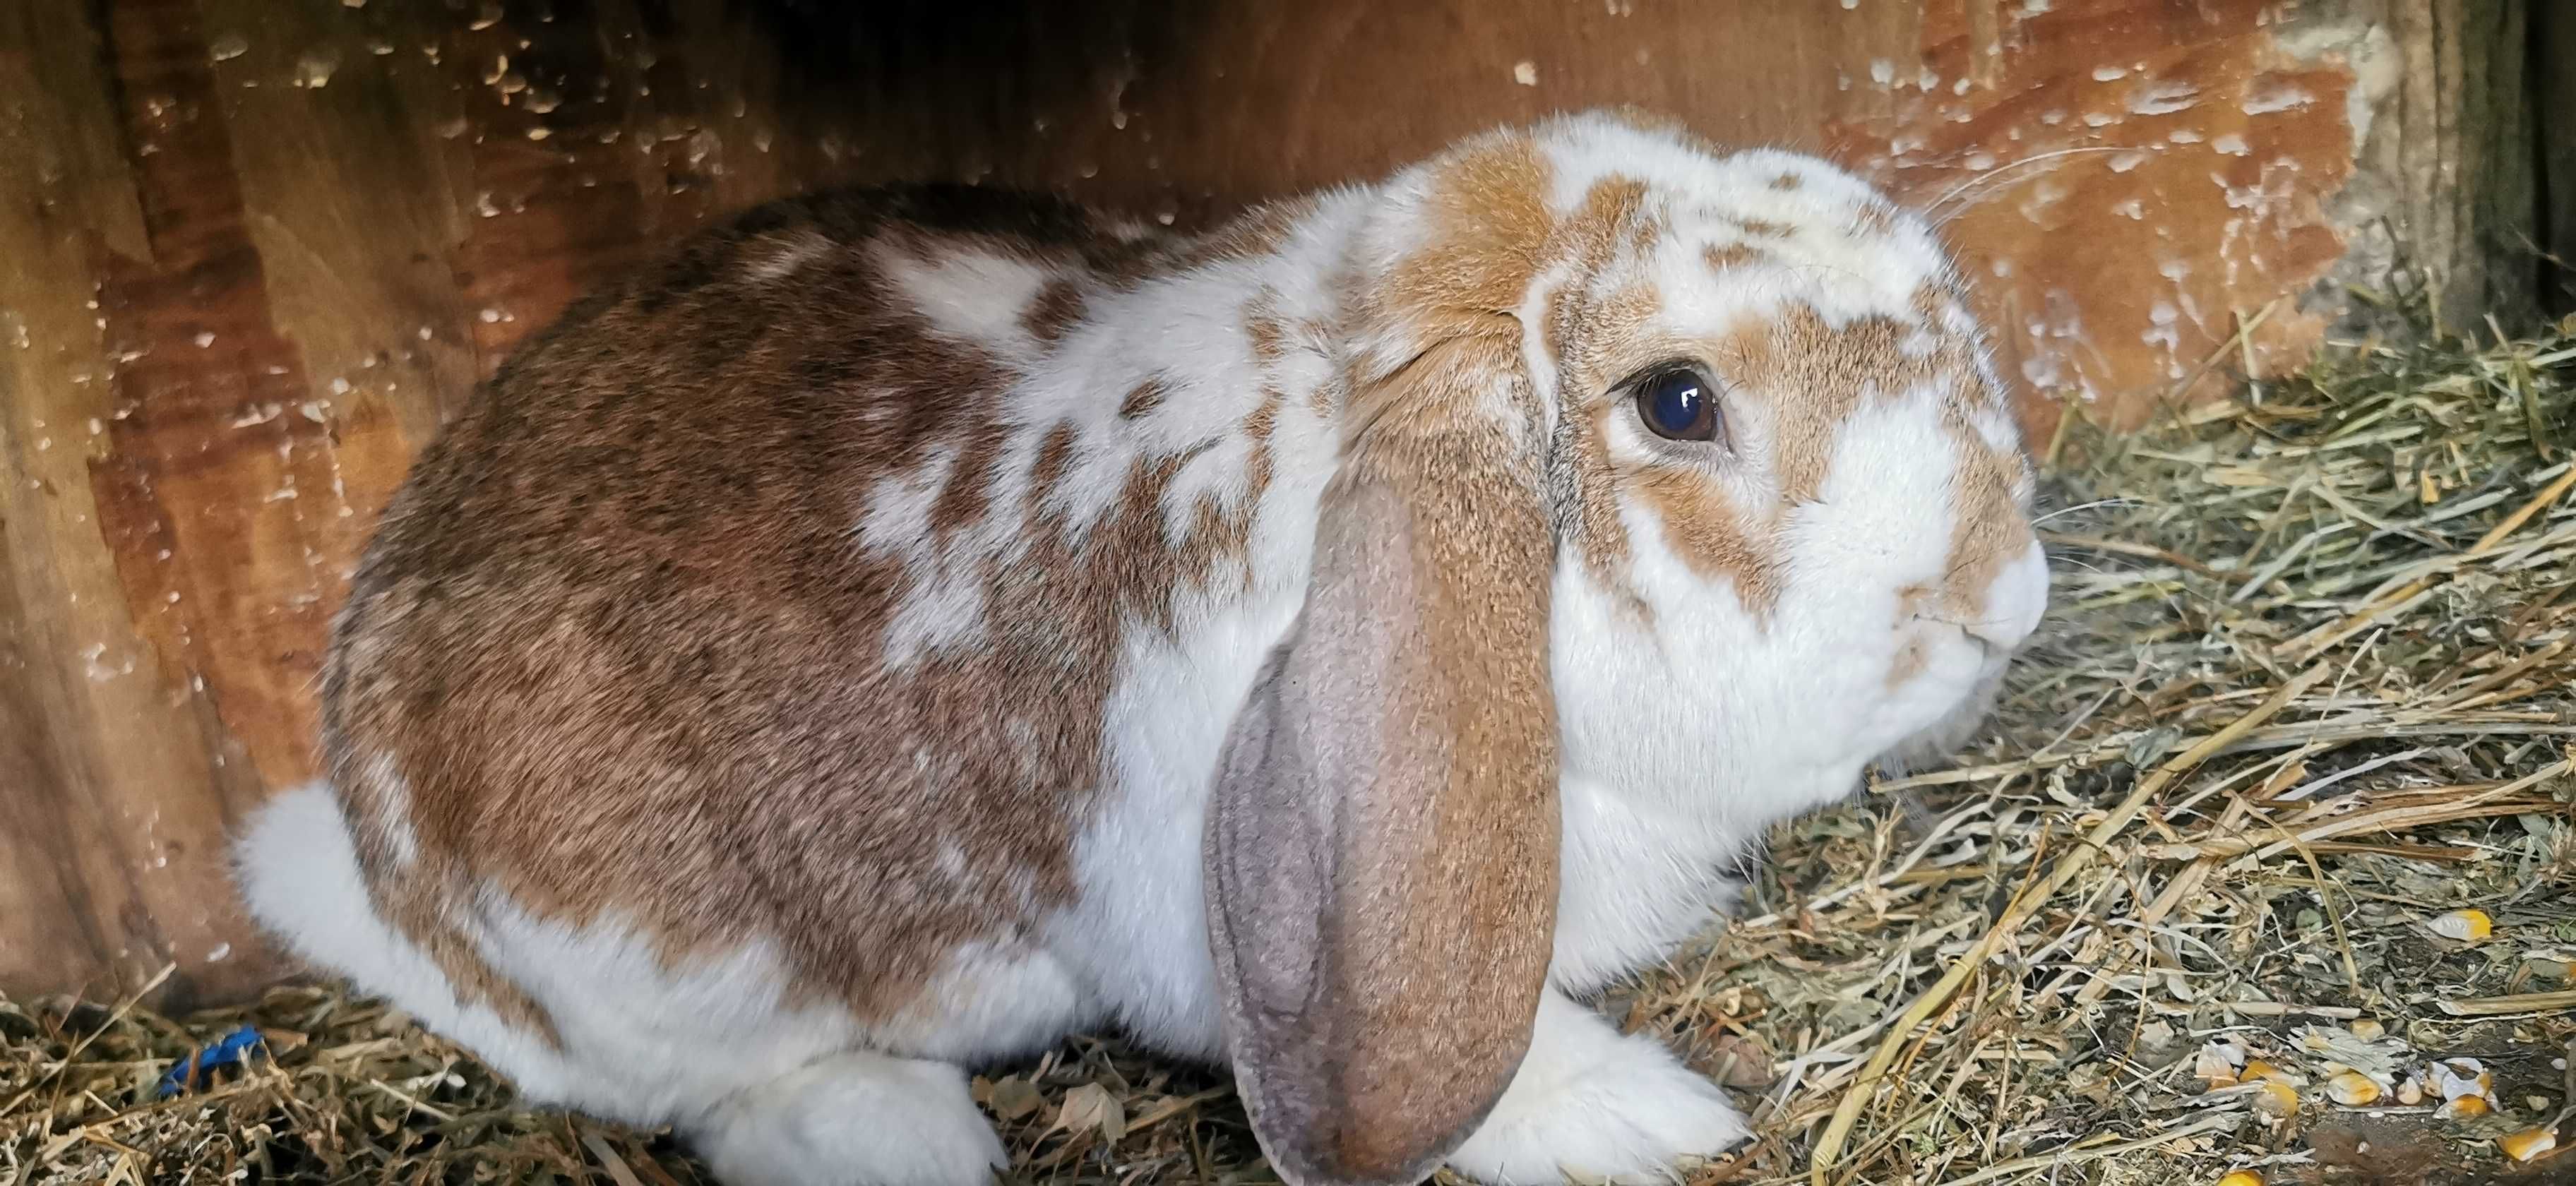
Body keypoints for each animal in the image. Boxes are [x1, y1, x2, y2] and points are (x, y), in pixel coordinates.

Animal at [242, 108, 2050, 1183]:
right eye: (1678, 403)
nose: (2003, 597)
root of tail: (359, 835)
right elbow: (1505, 1057)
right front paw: (1645, 1125)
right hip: (647, 951)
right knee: (706, 1087)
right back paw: (897, 1136)